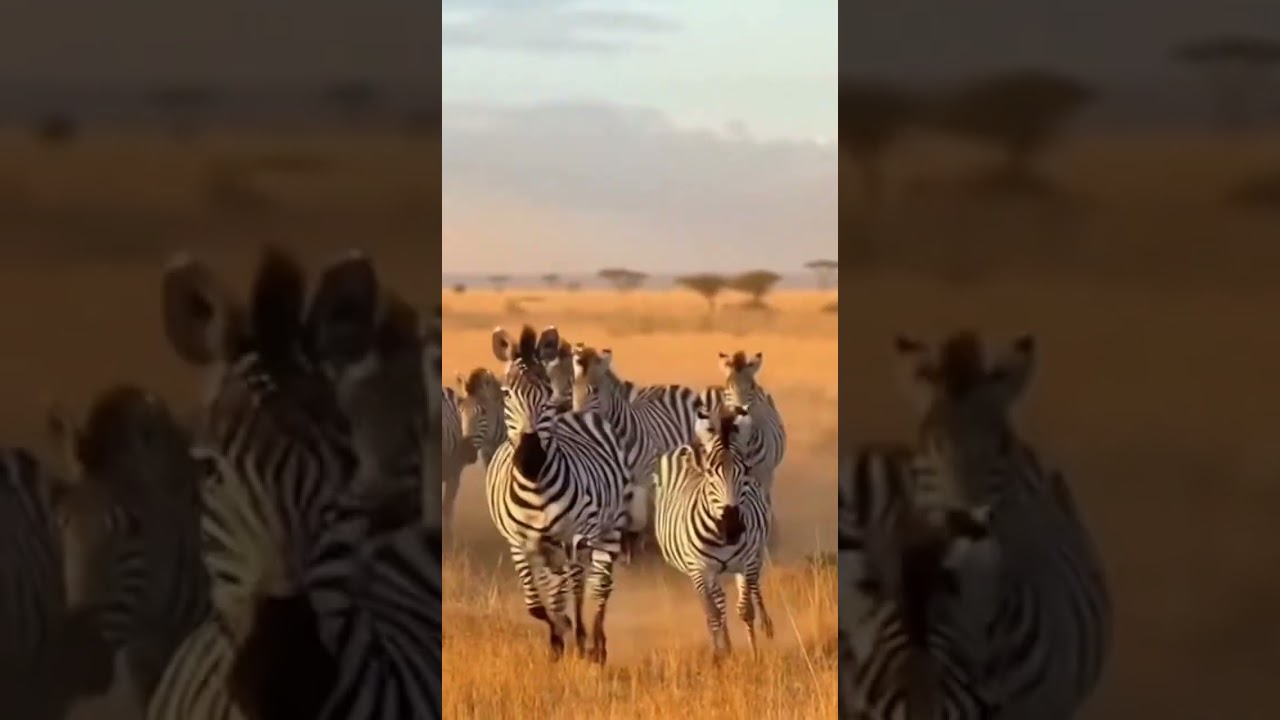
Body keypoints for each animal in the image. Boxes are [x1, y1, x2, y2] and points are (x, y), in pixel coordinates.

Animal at [485, 325, 630, 663]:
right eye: (505, 393)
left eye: (547, 393)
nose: (530, 459)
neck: (535, 490)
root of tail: (579, 413)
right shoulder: (519, 543)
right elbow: (537, 605)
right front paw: (556, 641)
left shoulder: (567, 540)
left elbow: (563, 595)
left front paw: (569, 635)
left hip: (608, 529)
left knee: (598, 585)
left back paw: (595, 643)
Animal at [651, 403, 773, 660]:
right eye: (708, 473)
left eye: (745, 472)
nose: (732, 528)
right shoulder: (699, 569)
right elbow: (712, 615)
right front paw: (720, 656)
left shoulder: (745, 562)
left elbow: (745, 610)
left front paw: (755, 655)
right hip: (709, 572)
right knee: (719, 603)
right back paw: (726, 646)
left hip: (753, 554)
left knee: (753, 586)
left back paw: (766, 624)